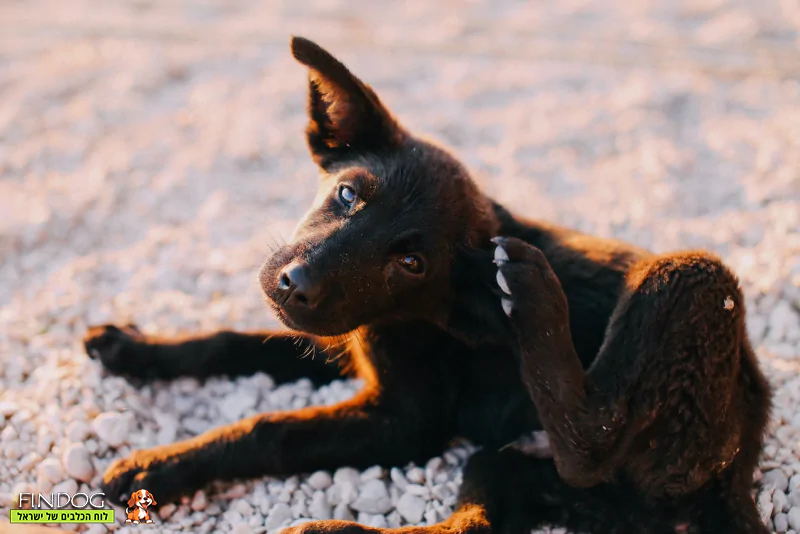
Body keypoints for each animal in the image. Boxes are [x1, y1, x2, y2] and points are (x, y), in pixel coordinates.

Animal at [84, 37, 772, 534]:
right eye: (348, 194)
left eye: (412, 263)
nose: (293, 285)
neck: (412, 315)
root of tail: (740, 461)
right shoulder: (341, 343)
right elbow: (229, 340)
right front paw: (133, 348)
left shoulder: (406, 420)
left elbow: (272, 430)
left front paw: (158, 465)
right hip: (523, 471)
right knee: (481, 516)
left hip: (690, 281)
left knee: (588, 443)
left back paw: (531, 297)